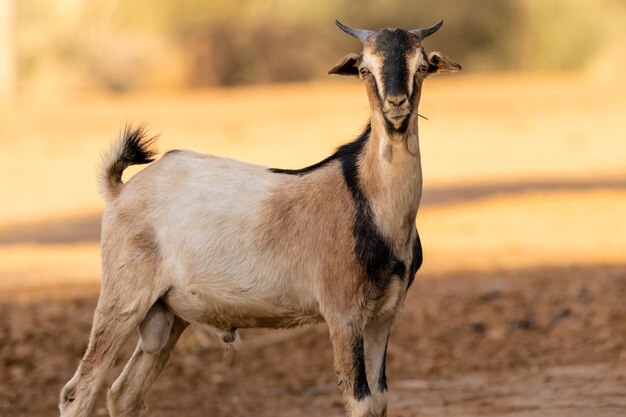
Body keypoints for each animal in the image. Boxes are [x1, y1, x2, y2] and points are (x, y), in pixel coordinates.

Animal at [58, 21, 458, 416]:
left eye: (421, 66)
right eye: (364, 69)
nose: (397, 105)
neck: (369, 199)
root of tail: (120, 191)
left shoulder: (383, 315)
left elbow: (379, 399)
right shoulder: (343, 314)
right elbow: (360, 402)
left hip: (168, 315)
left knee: (124, 393)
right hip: (123, 297)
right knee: (79, 391)